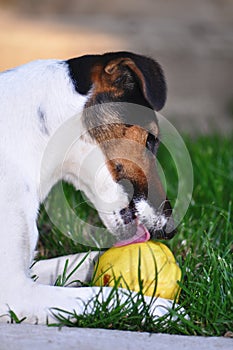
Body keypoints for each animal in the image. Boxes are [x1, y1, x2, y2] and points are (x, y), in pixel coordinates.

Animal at [0, 52, 176, 326]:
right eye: (151, 139)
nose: (171, 230)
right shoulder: (15, 291)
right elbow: (103, 293)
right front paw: (162, 308)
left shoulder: (28, 272)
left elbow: (79, 261)